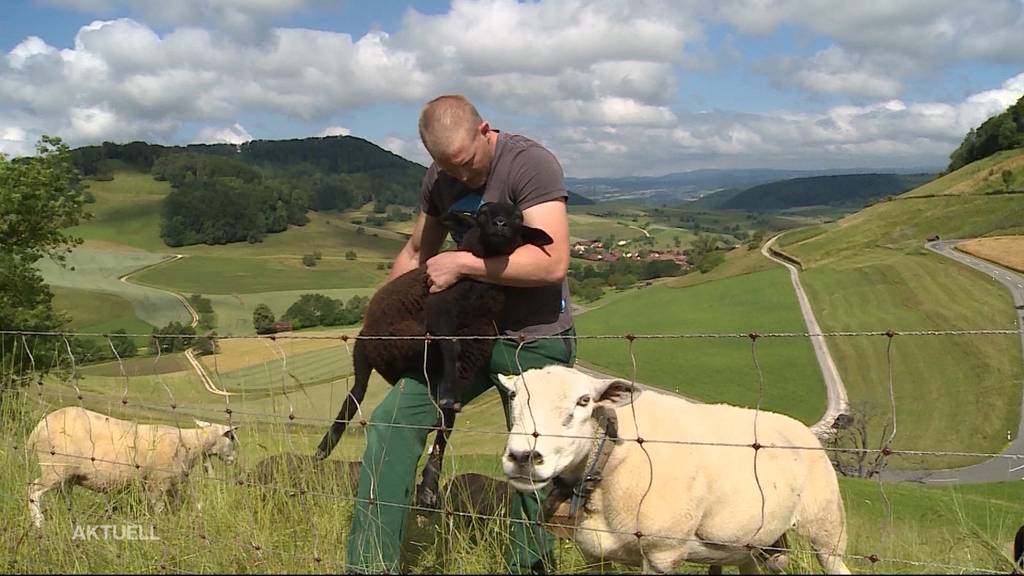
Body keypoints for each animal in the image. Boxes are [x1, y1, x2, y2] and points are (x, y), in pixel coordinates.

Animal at [27, 403, 238, 524]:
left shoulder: (170, 482)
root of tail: (36, 429)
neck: (189, 444)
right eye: (232, 437)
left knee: (65, 496)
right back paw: (39, 523)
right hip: (54, 467)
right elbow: (160, 509)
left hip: (68, 475)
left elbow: (185, 503)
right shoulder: (157, 482)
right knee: (33, 490)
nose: (233, 460)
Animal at [495, 364, 847, 569]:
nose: (523, 457)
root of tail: (801, 427)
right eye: (512, 396)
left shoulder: (662, 553)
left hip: (826, 528)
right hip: (750, 543)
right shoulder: (593, 554)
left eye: (584, 401)